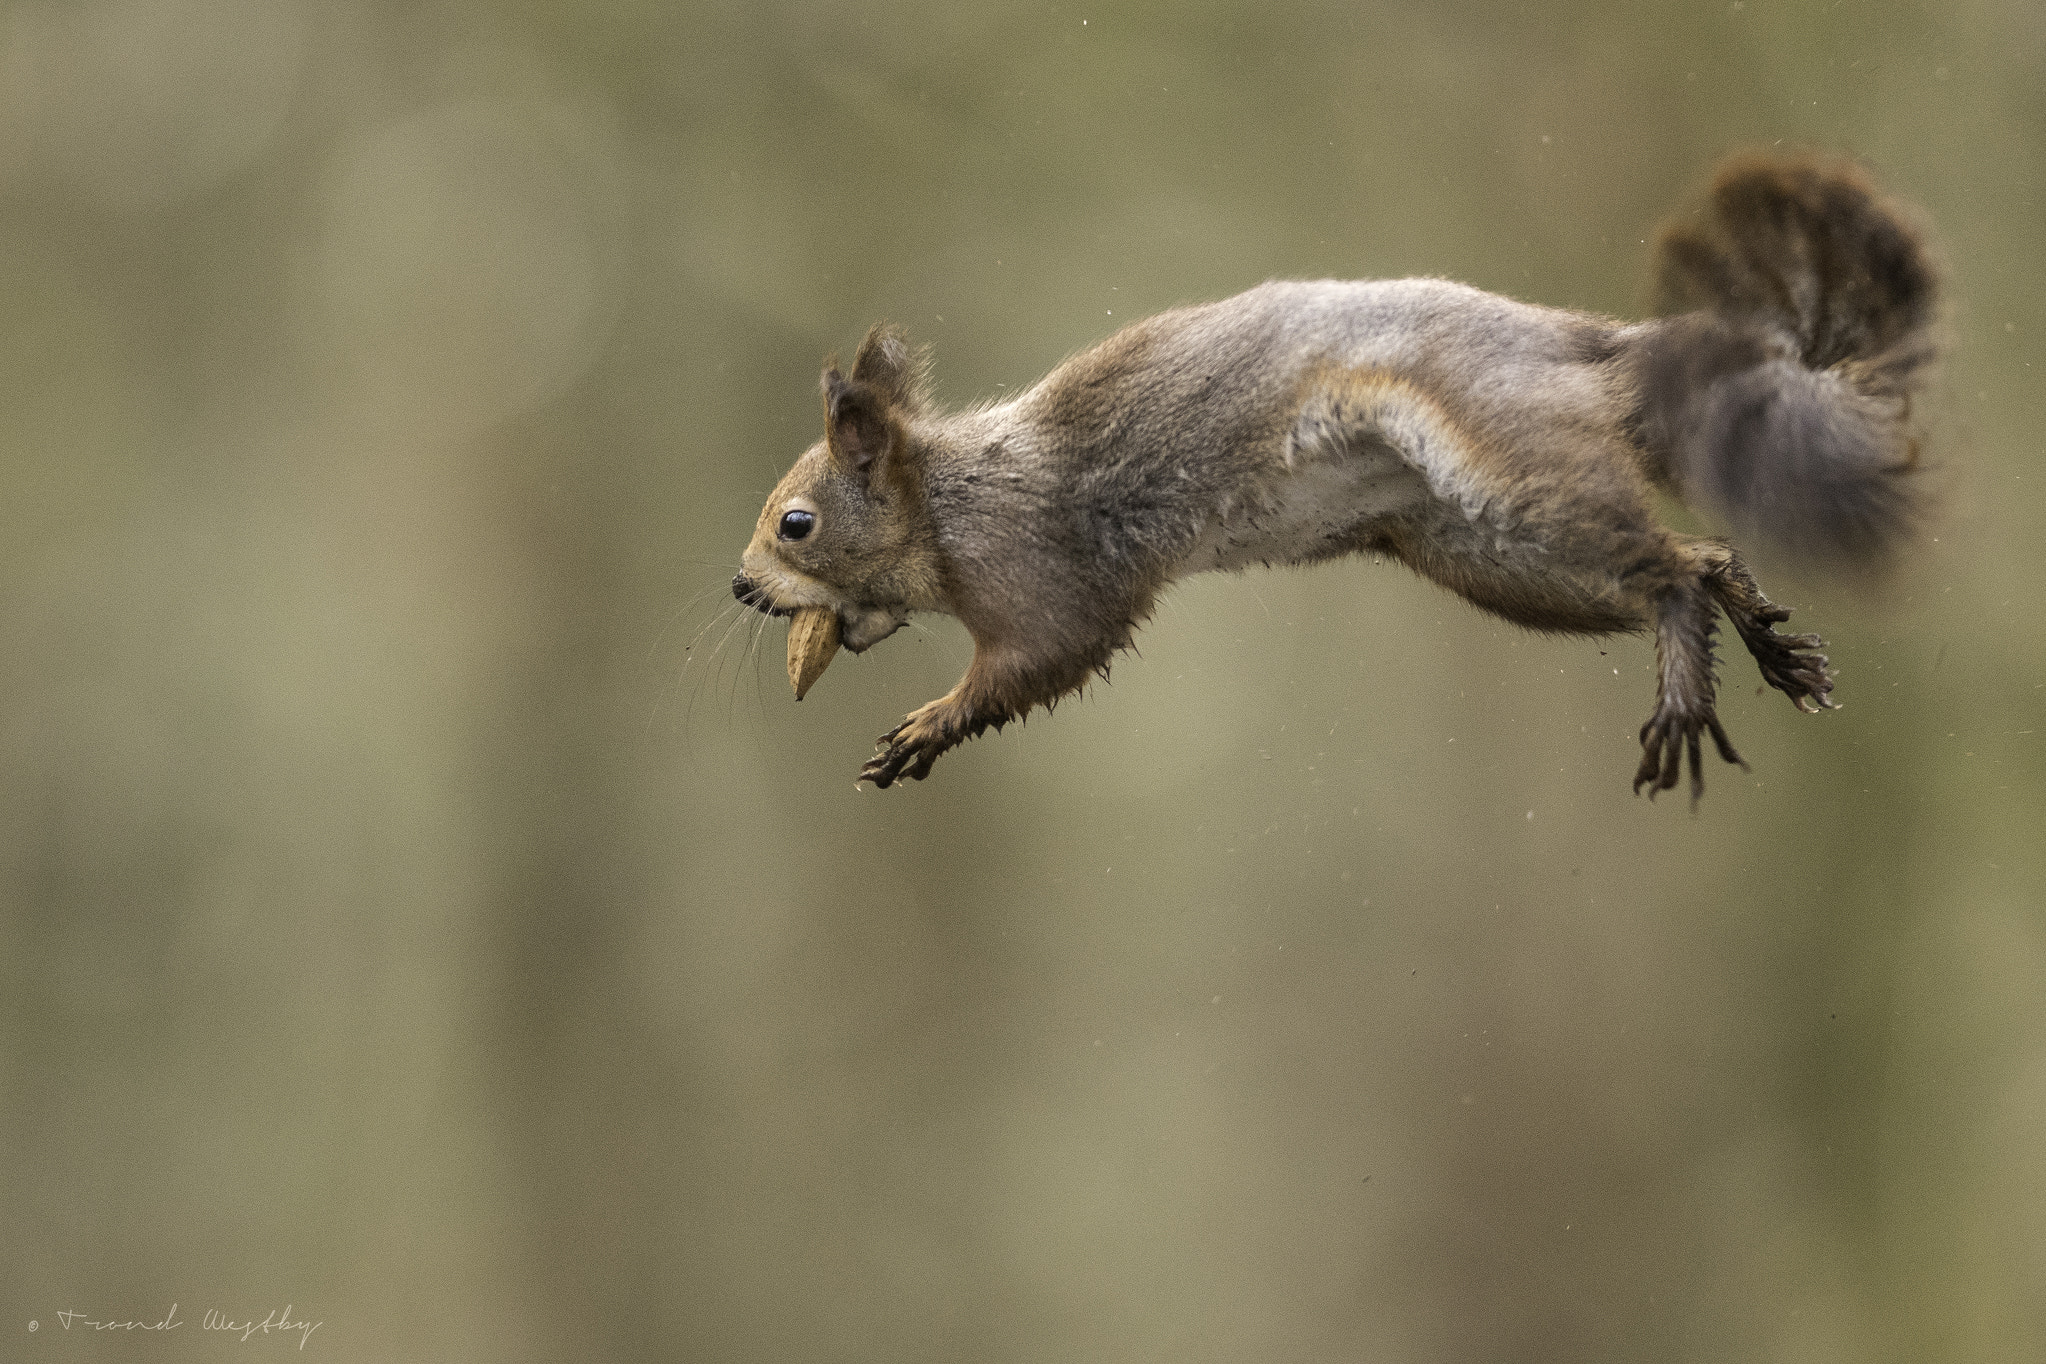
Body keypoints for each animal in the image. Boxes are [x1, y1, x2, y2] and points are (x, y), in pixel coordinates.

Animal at [732, 152, 1940, 801]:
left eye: (796, 522)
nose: (741, 588)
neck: (946, 503)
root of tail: (1586, 350)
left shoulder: (1043, 573)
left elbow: (1039, 659)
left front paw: (930, 724)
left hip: (1516, 475)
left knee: (1677, 567)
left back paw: (1693, 680)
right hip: (1487, 552)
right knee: (1695, 559)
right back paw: (1763, 645)